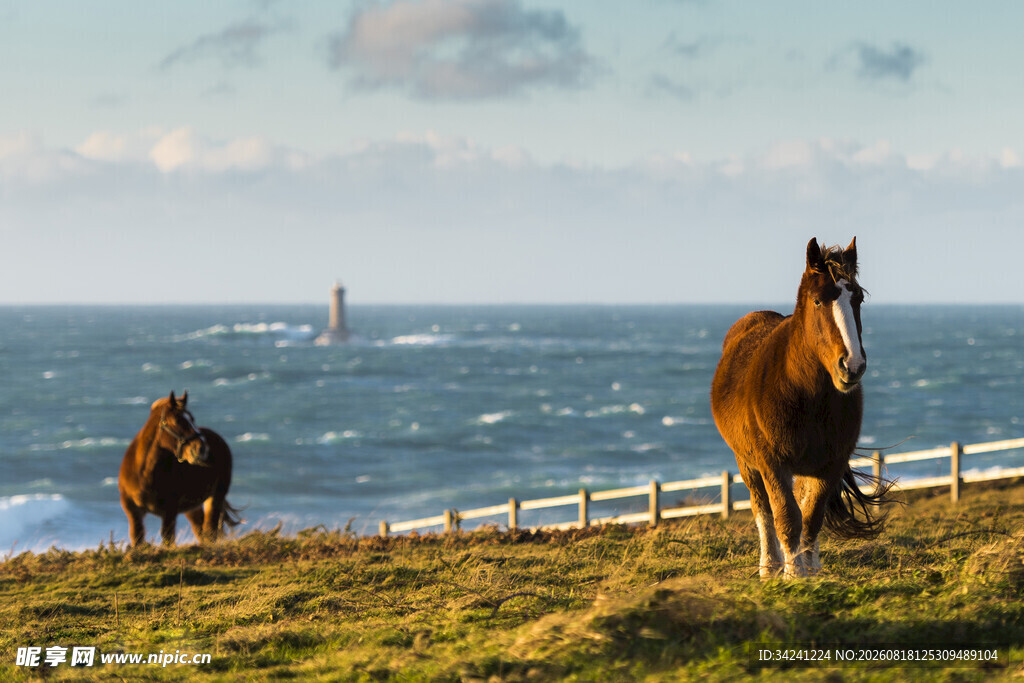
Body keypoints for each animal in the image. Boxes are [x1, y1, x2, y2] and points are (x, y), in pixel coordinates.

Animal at [118, 391, 240, 547]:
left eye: (192, 419)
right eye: (176, 420)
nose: (201, 449)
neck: (143, 474)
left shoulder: (170, 511)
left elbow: (168, 539)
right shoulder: (133, 512)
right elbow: (137, 539)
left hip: (215, 497)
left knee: (210, 531)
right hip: (193, 508)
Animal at [710, 237, 894, 578]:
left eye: (858, 299)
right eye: (818, 302)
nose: (852, 366)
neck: (804, 395)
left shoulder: (829, 465)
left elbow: (811, 518)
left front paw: (807, 572)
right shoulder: (772, 465)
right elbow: (786, 517)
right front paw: (792, 574)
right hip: (747, 463)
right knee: (762, 510)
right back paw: (770, 565)